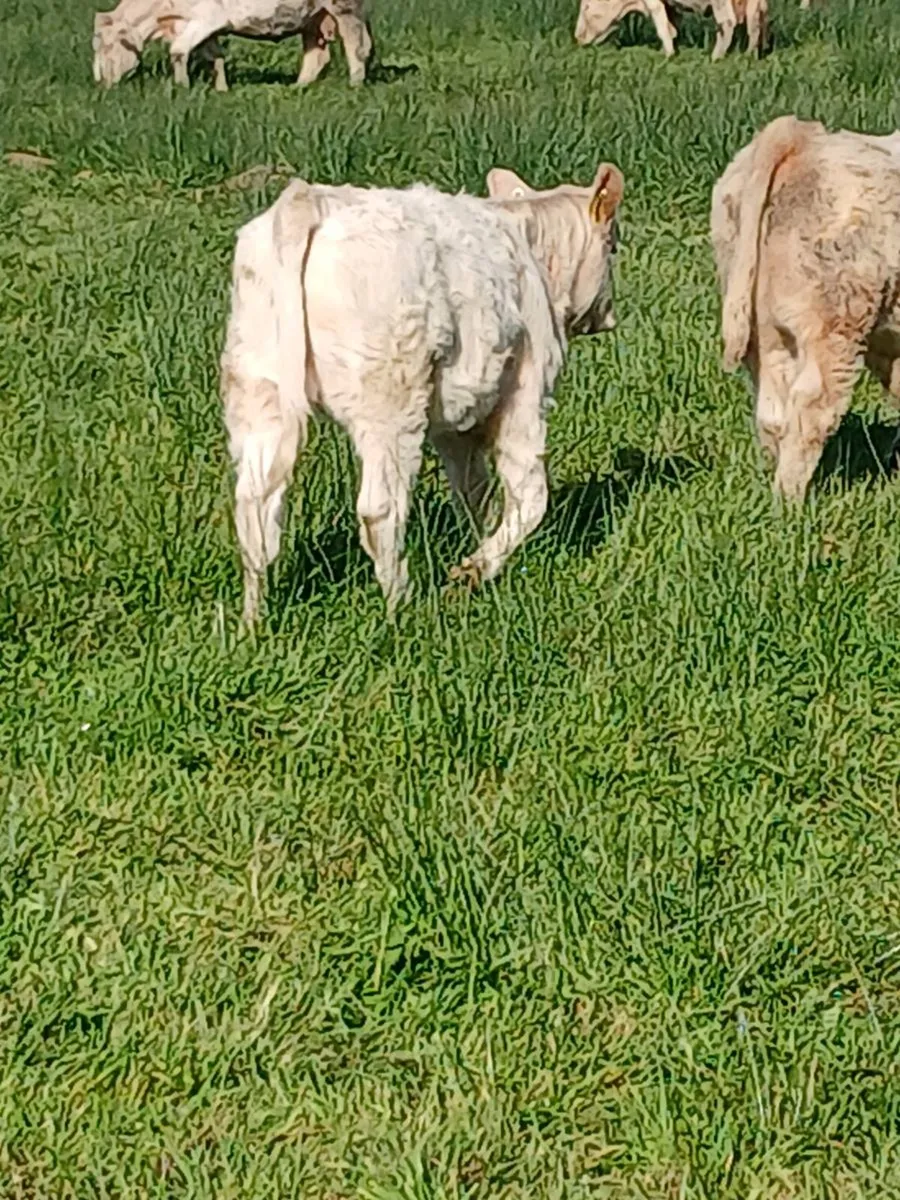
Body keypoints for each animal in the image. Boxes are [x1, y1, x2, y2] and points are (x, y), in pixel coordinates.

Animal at [92, 0, 372, 91]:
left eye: (107, 47)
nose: (101, 83)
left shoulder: (204, 18)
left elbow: (178, 51)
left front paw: (182, 87)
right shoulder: (209, 30)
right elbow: (215, 58)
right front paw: (222, 89)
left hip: (344, 8)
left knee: (356, 44)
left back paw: (355, 83)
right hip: (313, 18)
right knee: (317, 55)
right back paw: (298, 86)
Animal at [220, 166, 624, 620]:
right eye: (613, 244)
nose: (608, 315)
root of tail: (308, 199)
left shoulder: (457, 421)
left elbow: (473, 491)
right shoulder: (527, 389)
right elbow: (530, 494)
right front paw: (476, 569)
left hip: (258, 383)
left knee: (254, 507)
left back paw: (251, 621)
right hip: (390, 400)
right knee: (380, 509)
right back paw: (403, 607)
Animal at [574, 0, 768, 60]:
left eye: (586, 7)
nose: (578, 37)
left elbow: (662, 26)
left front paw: (668, 55)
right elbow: (672, 26)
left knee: (727, 22)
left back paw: (715, 58)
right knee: (755, 25)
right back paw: (749, 57)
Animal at [712, 114, 900, 501]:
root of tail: (801, 136)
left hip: (764, 330)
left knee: (773, 410)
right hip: (836, 324)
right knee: (813, 406)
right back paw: (790, 501)